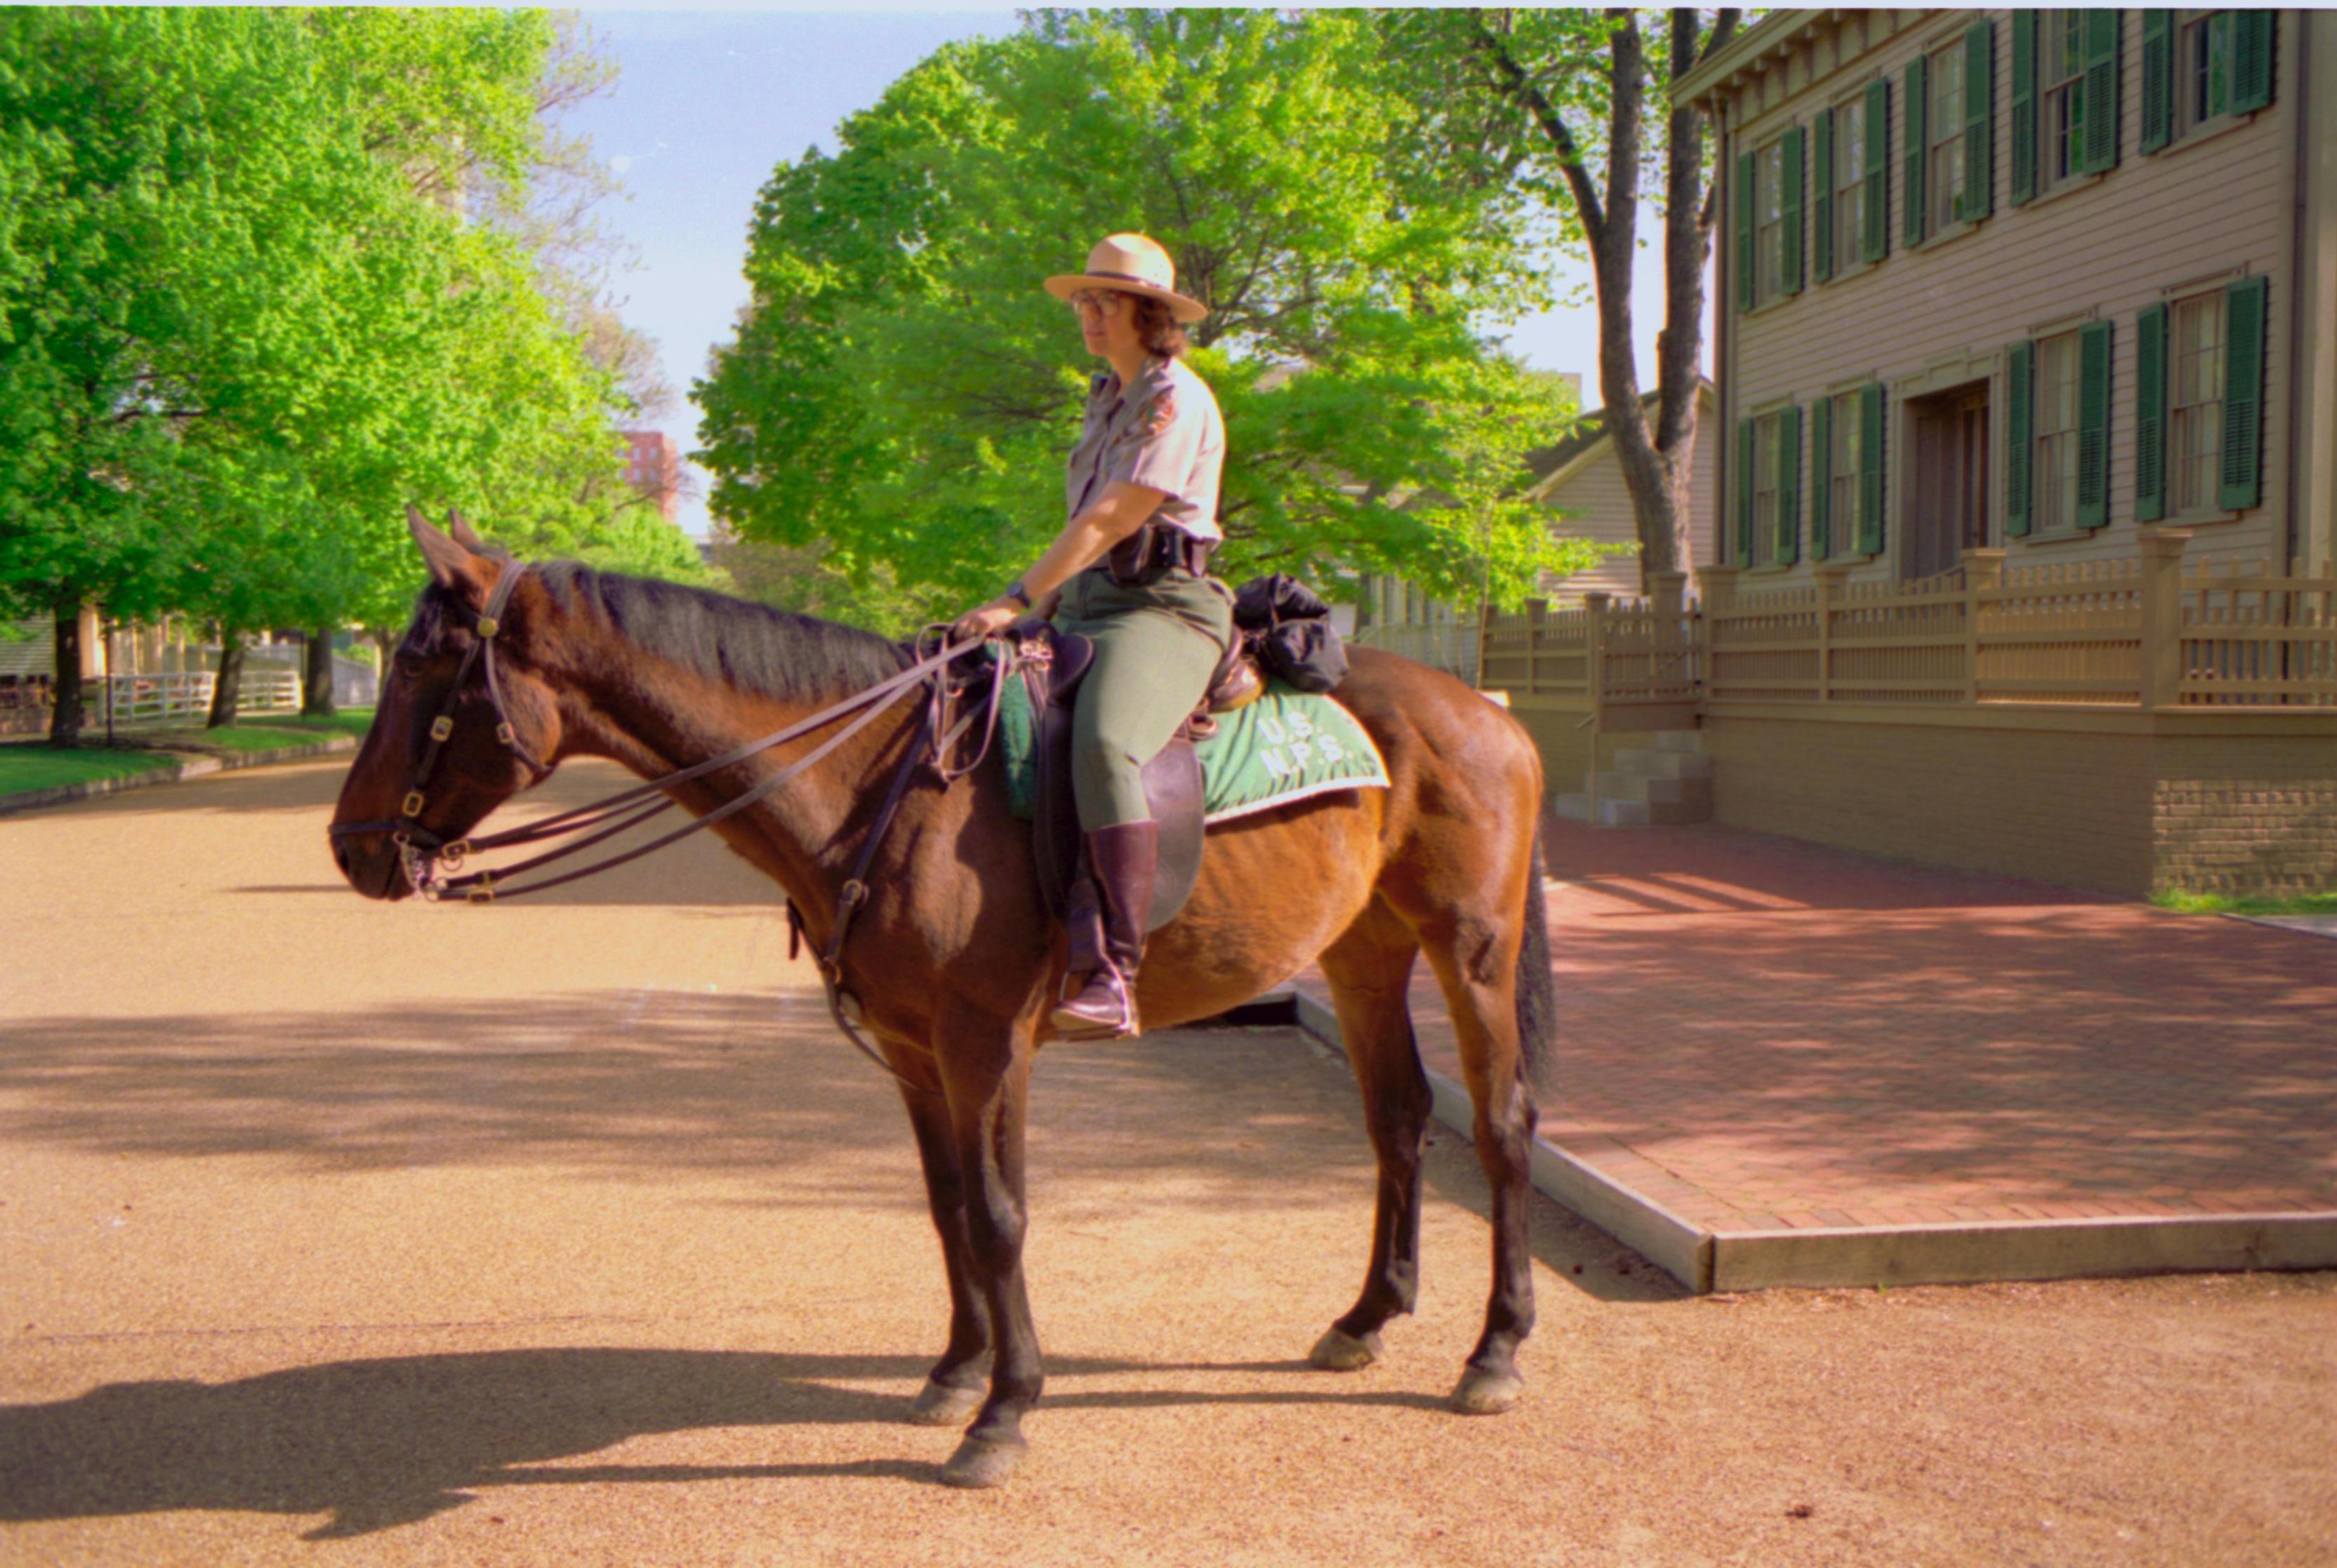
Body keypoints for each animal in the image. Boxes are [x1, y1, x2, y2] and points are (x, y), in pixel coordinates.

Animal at [334, 509, 1551, 1486]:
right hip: (1364, 953)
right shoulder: (915, 1049)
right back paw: (1366, 1316)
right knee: (1399, 1118)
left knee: (1499, 1127)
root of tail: (1488, 710)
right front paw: (958, 1373)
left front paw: (1005, 1412)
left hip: (1471, 950)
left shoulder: (985, 1045)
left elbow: (1003, 1215)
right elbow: (948, 1206)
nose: (350, 847)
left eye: (420, 664)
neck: (883, 774)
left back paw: (1494, 1349)